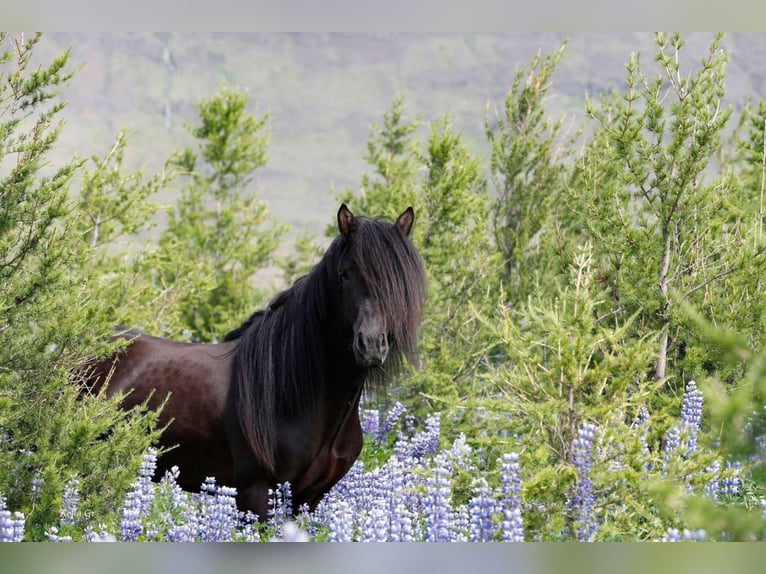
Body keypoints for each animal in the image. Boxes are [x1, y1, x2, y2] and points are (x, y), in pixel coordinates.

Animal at [80, 204, 427, 518]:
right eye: (344, 275)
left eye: (398, 281)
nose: (370, 345)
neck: (293, 392)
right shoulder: (256, 493)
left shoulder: (308, 500)